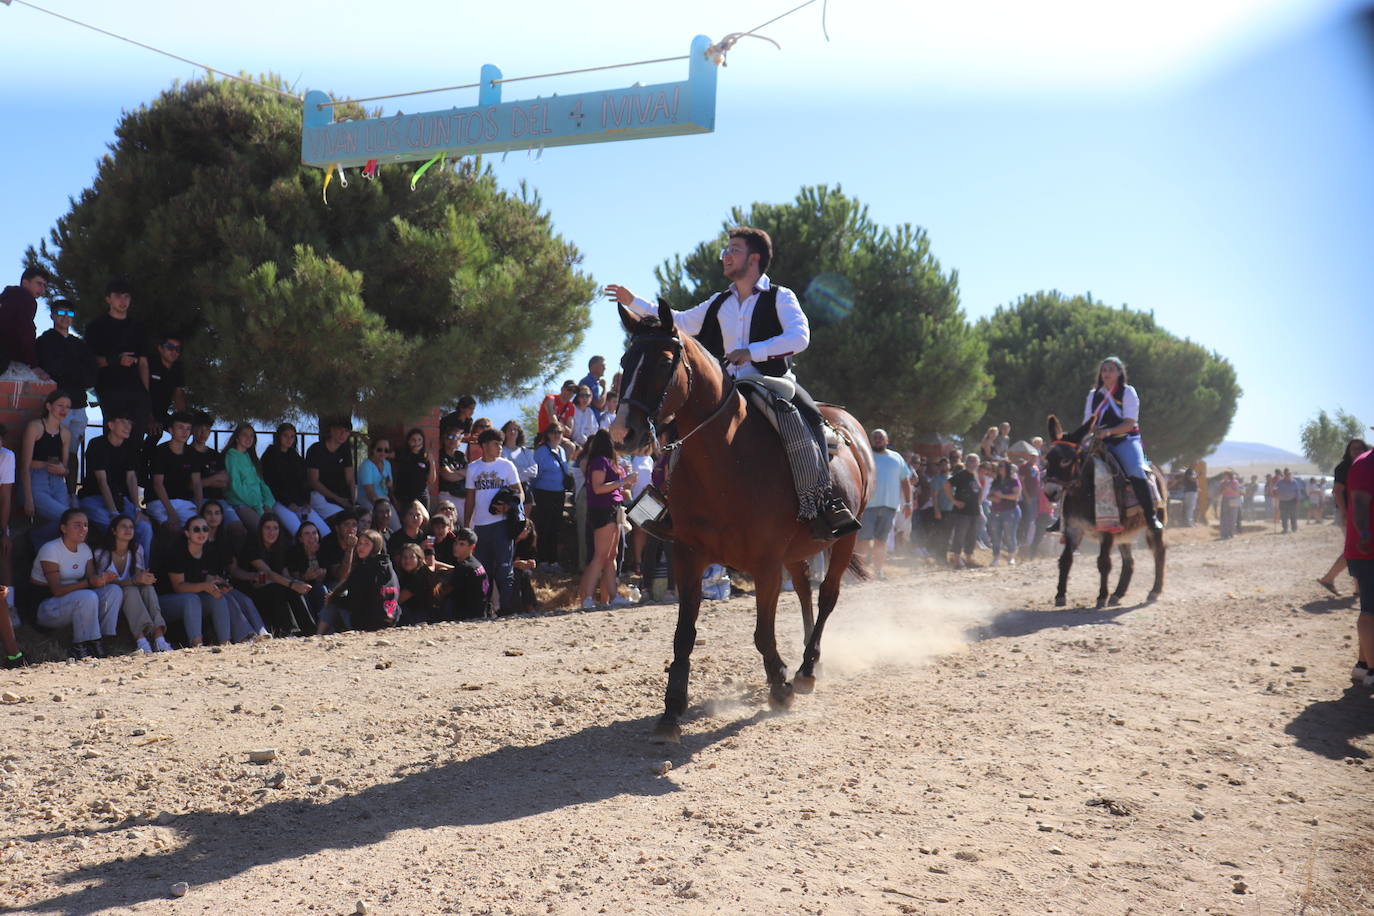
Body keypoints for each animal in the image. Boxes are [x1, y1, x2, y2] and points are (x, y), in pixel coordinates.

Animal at [610, 302, 868, 747]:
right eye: (626, 361)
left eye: (662, 361)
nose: (622, 433)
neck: (726, 458)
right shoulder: (688, 555)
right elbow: (684, 634)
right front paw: (671, 710)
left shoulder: (764, 562)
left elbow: (763, 632)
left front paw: (779, 686)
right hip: (798, 552)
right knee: (805, 592)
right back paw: (806, 660)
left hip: (843, 541)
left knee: (827, 597)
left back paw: (805, 670)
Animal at [1044, 414, 1165, 609]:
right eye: (1047, 459)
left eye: (1065, 460)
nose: (1050, 492)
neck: (1084, 492)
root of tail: (1154, 469)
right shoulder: (1073, 529)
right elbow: (1065, 560)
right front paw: (1060, 595)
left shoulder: (1107, 530)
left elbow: (1103, 563)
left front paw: (1101, 597)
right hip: (1124, 533)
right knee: (1129, 562)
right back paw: (1117, 594)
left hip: (1153, 525)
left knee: (1159, 552)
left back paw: (1154, 591)